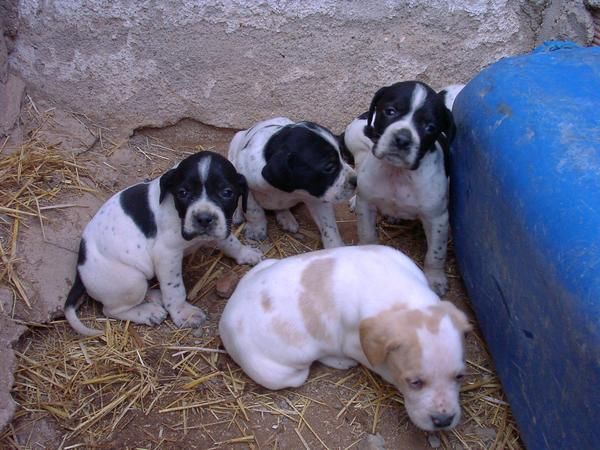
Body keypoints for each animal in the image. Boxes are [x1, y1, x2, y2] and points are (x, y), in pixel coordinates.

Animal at [63, 150, 262, 334]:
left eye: (227, 193)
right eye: (183, 193)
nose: (204, 219)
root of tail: (79, 272)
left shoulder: (220, 228)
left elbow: (231, 243)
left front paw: (247, 253)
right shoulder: (167, 255)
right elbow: (175, 288)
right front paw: (183, 313)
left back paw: (154, 296)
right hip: (131, 281)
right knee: (111, 310)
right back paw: (147, 312)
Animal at [218, 244, 472, 430]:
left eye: (460, 376)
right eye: (415, 382)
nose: (443, 421)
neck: (405, 301)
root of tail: (225, 319)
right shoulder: (356, 345)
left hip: (264, 264)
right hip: (283, 374)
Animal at [226, 118, 356, 248]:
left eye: (343, 156)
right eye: (329, 167)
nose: (355, 181)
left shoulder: (317, 197)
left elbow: (328, 225)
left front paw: (335, 246)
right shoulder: (246, 184)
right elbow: (253, 210)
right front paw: (256, 230)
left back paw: (286, 217)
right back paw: (237, 214)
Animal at [342, 81, 464, 296]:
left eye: (429, 127)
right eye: (390, 111)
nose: (402, 139)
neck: (397, 173)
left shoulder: (437, 218)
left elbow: (435, 254)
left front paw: (435, 279)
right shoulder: (367, 206)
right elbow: (367, 235)